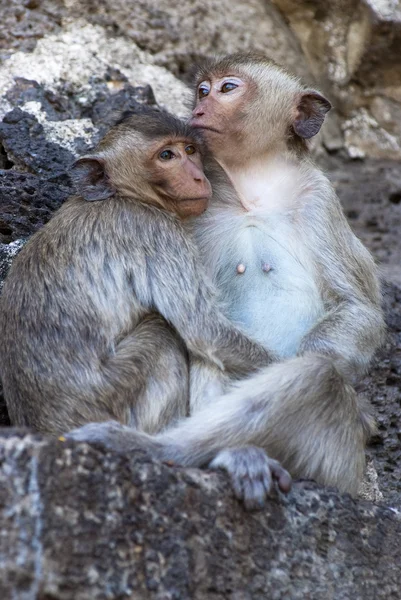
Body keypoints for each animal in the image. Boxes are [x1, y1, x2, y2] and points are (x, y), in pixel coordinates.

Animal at [65, 52, 384, 502]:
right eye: (202, 90)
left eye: (227, 88)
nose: (200, 109)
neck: (254, 191)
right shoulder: (197, 214)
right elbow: (204, 324)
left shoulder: (319, 200)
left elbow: (358, 308)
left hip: (336, 467)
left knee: (319, 376)